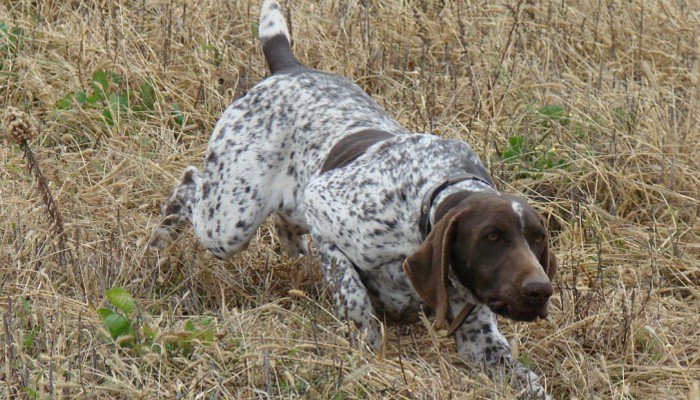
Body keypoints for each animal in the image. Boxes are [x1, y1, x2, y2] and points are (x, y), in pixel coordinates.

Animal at [152, 1, 556, 398]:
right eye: (492, 237)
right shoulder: (323, 204)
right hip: (229, 222)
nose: (540, 290)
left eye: (538, 240)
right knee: (188, 185)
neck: (422, 207)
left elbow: (530, 382)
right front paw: (366, 343)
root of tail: (289, 68)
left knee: (281, 224)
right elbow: (354, 297)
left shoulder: (482, 345)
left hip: (276, 208)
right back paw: (158, 244)